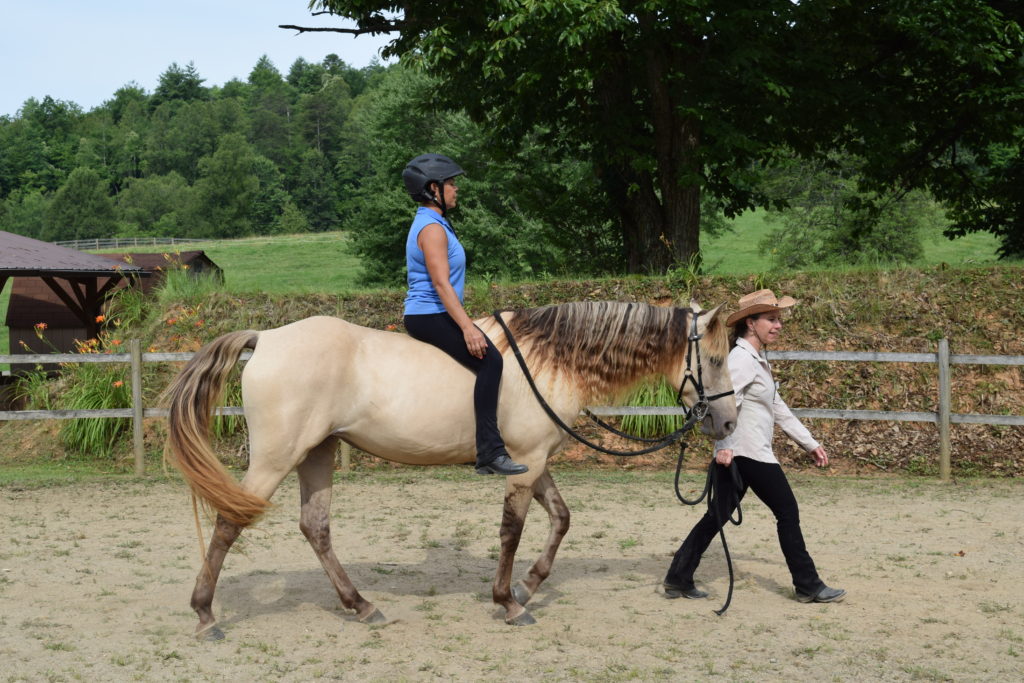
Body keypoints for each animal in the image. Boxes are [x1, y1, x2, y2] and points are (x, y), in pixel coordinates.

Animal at [161, 301, 737, 638]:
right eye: (713, 361)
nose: (728, 421)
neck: (547, 358)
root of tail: (268, 337)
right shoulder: (524, 464)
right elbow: (512, 531)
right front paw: (508, 602)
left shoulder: (534, 457)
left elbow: (561, 518)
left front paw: (529, 585)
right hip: (276, 458)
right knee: (229, 522)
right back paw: (205, 615)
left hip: (317, 453)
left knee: (315, 527)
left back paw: (360, 605)